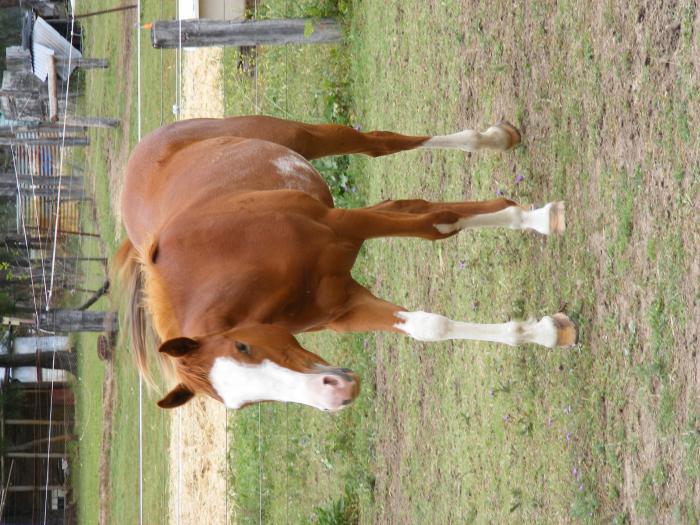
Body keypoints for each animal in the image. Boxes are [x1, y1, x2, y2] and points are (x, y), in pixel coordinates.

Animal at [116, 115, 576, 412]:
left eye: (242, 346)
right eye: (242, 405)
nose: (335, 394)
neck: (228, 263)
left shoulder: (342, 224)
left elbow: (438, 224)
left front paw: (537, 218)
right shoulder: (345, 309)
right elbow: (429, 326)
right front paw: (543, 331)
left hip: (304, 137)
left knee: (380, 144)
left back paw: (493, 140)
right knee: (403, 201)